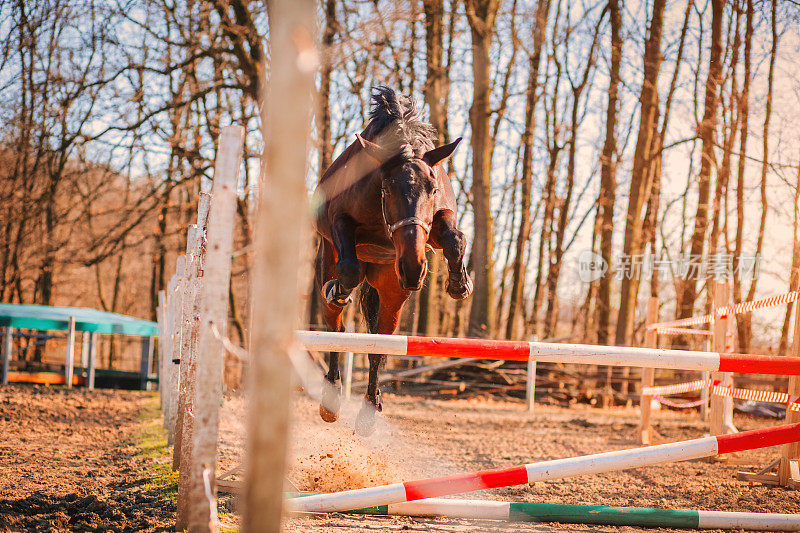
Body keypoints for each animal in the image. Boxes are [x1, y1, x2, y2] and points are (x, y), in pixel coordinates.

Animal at [312, 87, 472, 434]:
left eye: (433, 189)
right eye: (387, 188)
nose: (413, 270)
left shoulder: (435, 225)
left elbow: (455, 239)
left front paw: (459, 285)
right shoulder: (337, 221)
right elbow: (348, 268)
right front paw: (339, 289)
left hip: (391, 293)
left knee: (378, 346)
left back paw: (370, 410)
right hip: (328, 264)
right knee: (334, 326)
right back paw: (331, 398)